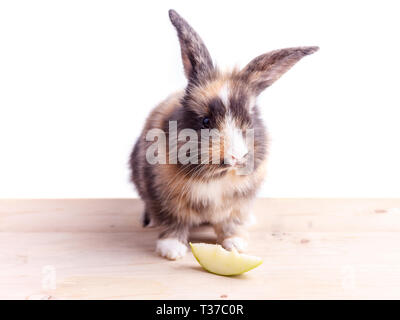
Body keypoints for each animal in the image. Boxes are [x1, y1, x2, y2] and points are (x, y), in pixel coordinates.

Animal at [130, 9, 318, 260]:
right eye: (205, 121)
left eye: (248, 121)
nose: (237, 156)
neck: (215, 177)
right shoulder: (164, 198)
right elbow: (173, 222)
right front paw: (171, 250)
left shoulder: (237, 204)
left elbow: (230, 224)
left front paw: (236, 244)